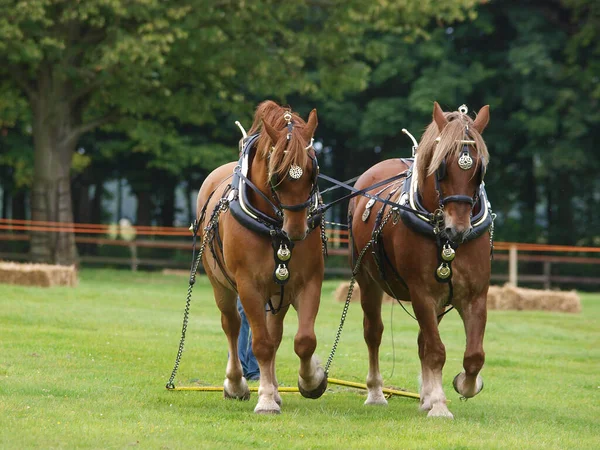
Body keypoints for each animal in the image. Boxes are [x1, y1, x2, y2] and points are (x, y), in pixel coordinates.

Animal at [197, 100, 328, 414]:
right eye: (276, 174)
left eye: (313, 170)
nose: (297, 230)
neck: (274, 228)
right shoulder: (249, 286)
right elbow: (261, 344)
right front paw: (266, 399)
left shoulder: (308, 282)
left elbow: (304, 340)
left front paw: (311, 380)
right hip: (221, 285)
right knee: (232, 326)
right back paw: (236, 384)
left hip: (278, 292)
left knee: (275, 332)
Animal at [350, 102, 490, 418]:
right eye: (442, 167)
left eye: (479, 170)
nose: (458, 229)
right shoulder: (422, 293)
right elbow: (437, 351)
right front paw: (438, 404)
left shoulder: (474, 295)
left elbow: (473, 355)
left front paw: (463, 385)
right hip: (368, 281)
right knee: (373, 333)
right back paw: (376, 392)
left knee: (422, 342)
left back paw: (425, 395)